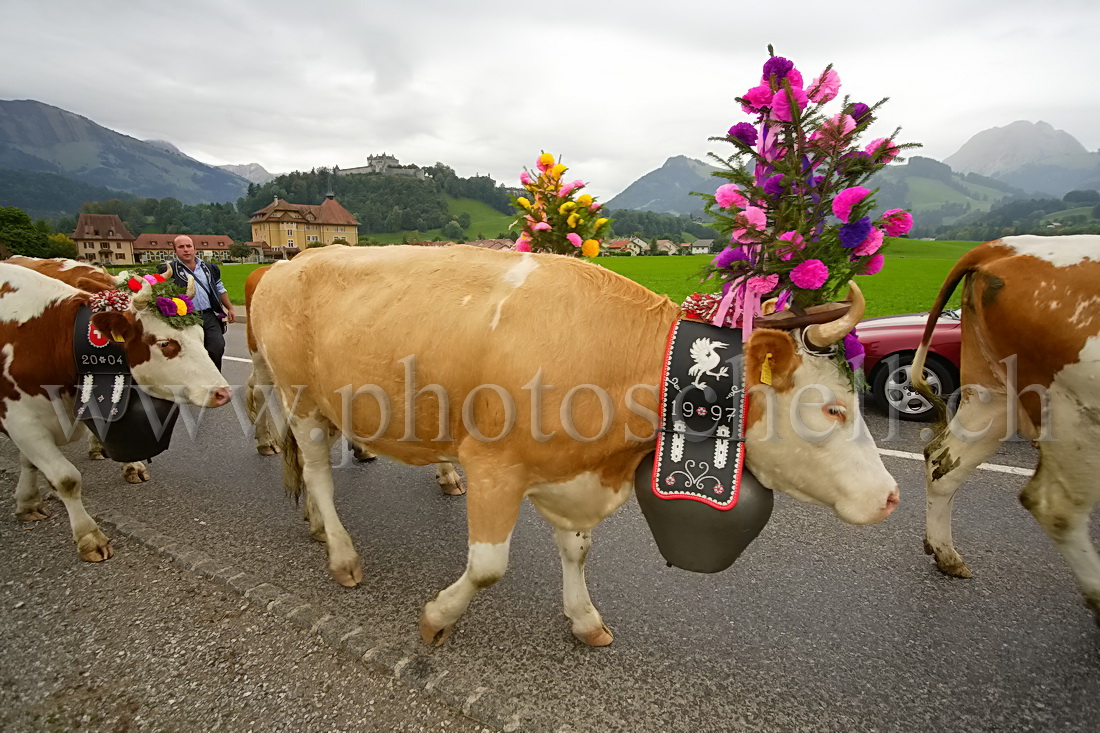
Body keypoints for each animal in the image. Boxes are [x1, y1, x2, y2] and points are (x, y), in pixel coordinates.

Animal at [0, 264, 232, 559]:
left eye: (200, 336)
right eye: (165, 344)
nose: (222, 392)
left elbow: (31, 461)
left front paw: (28, 501)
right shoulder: (20, 419)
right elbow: (65, 478)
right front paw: (89, 536)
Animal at [253, 246, 897, 647]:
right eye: (833, 408)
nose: (891, 496)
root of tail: (289, 264)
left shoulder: (571, 472)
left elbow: (578, 549)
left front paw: (584, 619)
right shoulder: (493, 466)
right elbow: (488, 566)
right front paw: (437, 618)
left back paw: (317, 526)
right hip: (300, 397)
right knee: (317, 471)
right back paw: (341, 554)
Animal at [915, 235, 1100, 620]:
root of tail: (1003, 246)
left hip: (993, 396)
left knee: (944, 461)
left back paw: (946, 556)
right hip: (1072, 411)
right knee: (1056, 507)